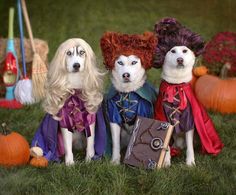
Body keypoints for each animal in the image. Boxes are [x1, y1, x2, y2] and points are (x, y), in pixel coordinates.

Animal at [31, 37, 104, 165]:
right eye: (68, 53)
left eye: (82, 52)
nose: (76, 65)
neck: (75, 90)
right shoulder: (64, 121)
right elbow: (67, 145)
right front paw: (69, 163)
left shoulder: (90, 118)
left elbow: (91, 142)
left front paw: (89, 160)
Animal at [100, 32, 158, 165]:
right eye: (120, 63)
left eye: (134, 62)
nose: (125, 75)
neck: (127, 92)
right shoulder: (113, 116)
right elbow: (115, 142)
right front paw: (115, 161)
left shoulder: (144, 114)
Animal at [153, 17, 223, 166]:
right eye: (172, 51)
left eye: (185, 51)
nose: (180, 60)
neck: (176, 84)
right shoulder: (164, 119)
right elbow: (166, 143)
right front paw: (166, 162)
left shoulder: (189, 121)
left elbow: (190, 145)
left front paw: (190, 162)